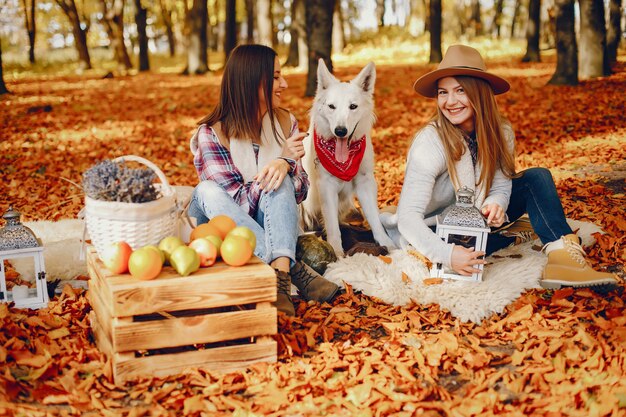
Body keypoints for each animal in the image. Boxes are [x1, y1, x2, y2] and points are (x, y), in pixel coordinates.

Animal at [298, 59, 394, 255]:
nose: (340, 131)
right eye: (331, 107)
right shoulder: (326, 186)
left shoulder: (365, 182)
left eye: (353, 107)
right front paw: (337, 253)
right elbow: (333, 227)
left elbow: (374, 218)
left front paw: (386, 243)